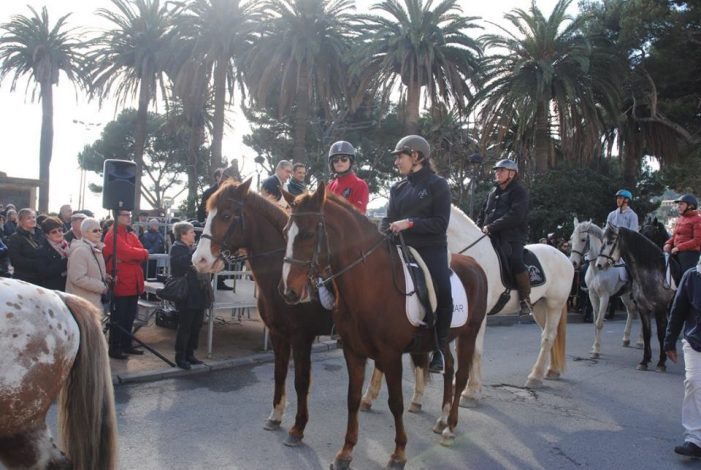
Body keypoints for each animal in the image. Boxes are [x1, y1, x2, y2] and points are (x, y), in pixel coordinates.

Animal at [189, 179, 426, 444]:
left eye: (227, 215)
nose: (199, 260)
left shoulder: (301, 336)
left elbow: (300, 381)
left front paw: (298, 427)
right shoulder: (278, 334)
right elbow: (279, 373)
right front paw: (275, 415)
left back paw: (419, 400)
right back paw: (369, 398)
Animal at [278, 182, 486, 468]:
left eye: (309, 234)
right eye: (285, 233)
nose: (289, 292)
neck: (372, 284)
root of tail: (475, 265)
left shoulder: (390, 355)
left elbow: (395, 402)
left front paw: (398, 453)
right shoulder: (353, 352)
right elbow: (352, 398)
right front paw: (345, 452)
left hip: (470, 333)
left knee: (462, 374)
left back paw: (450, 428)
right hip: (443, 340)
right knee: (450, 367)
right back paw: (442, 419)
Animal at [568, 218, 640, 358]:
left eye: (583, 239)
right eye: (572, 238)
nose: (573, 263)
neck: (597, 268)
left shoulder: (605, 297)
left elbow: (600, 322)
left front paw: (596, 349)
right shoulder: (592, 295)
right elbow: (595, 321)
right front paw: (594, 347)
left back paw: (641, 341)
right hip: (625, 295)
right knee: (631, 311)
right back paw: (626, 339)